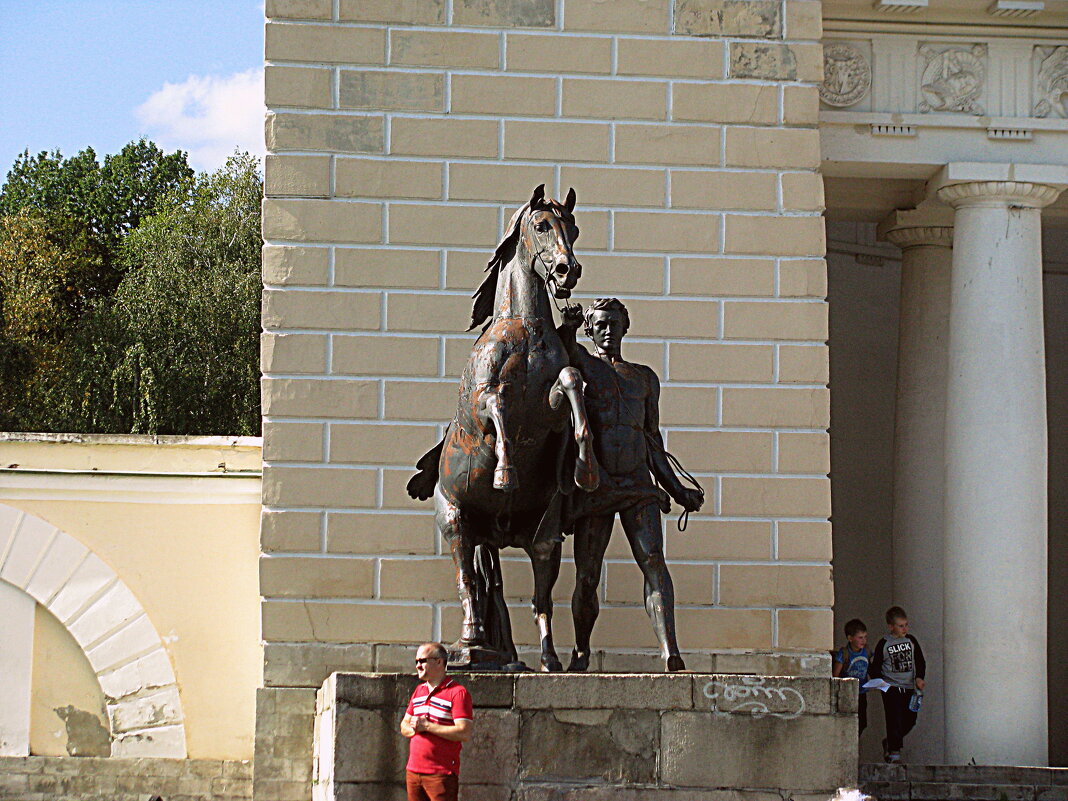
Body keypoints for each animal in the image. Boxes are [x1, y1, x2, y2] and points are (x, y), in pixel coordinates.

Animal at [405, 186, 598, 670]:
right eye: (542, 225)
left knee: (539, 597)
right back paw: (471, 642)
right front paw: (504, 475)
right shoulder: (482, 403)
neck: (525, 332)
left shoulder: (551, 405)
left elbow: (572, 383)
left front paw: (584, 467)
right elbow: (498, 408)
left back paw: (545, 659)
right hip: (456, 520)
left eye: (574, 228)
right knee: (468, 582)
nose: (568, 269)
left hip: (543, 538)